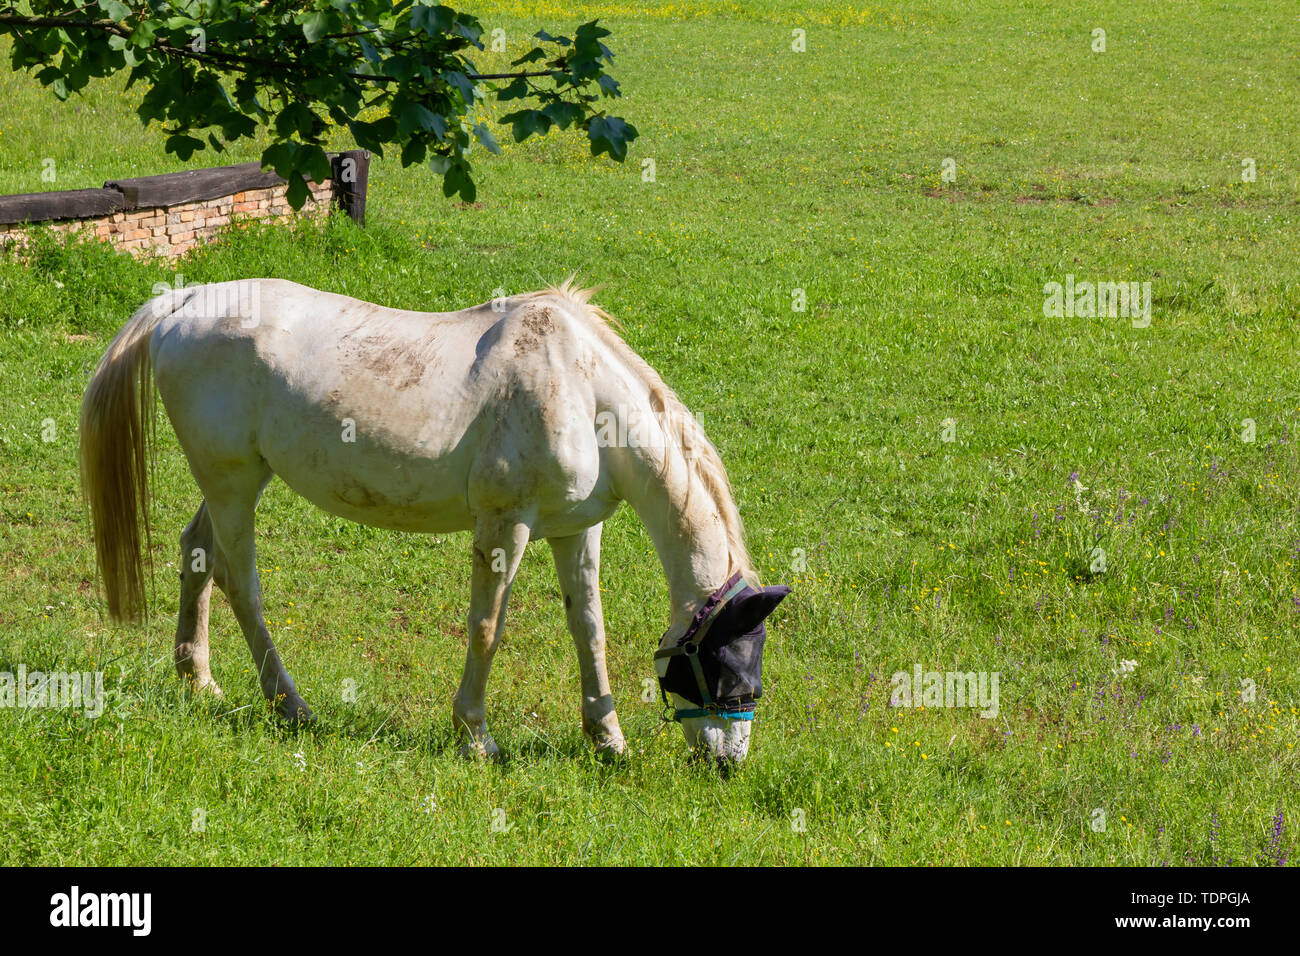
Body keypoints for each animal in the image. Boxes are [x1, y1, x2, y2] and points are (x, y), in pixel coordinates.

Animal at [79, 277, 790, 765]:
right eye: (728, 666)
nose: (729, 763)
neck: (580, 389)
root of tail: (185, 300)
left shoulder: (575, 529)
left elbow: (589, 628)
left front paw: (607, 739)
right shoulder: (505, 525)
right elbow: (486, 627)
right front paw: (476, 736)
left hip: (236, 479)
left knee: (197, 553)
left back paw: (198, 679)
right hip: (232, 483)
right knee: (239, 583)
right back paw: (293, 707)